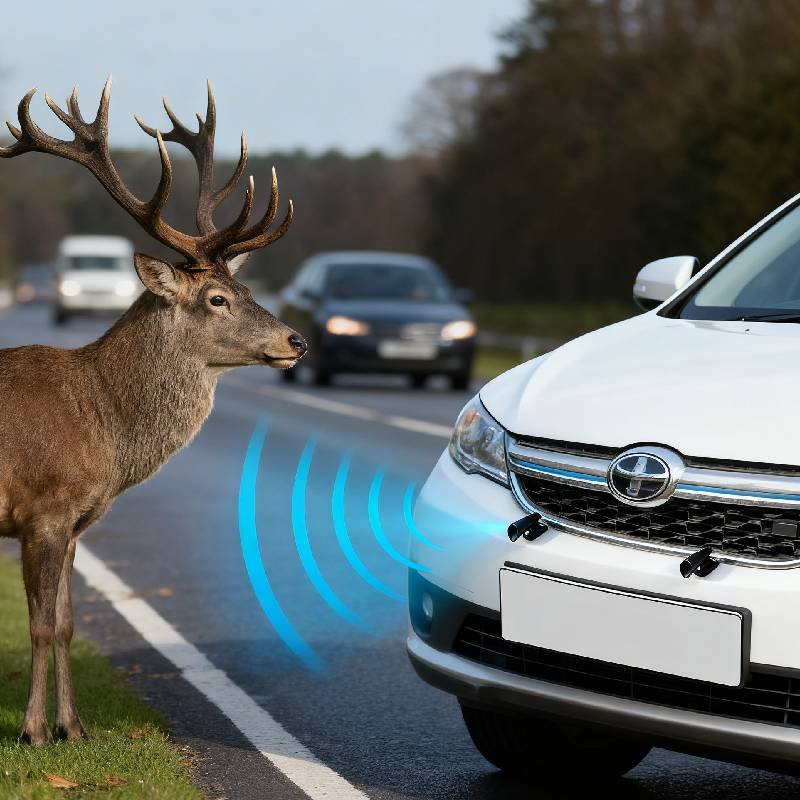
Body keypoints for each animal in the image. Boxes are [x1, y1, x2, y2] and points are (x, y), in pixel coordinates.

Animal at [0, 78, 308, 745]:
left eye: (247, 290)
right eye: (216, 299)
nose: (297, 341)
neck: (102, 431)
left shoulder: (76, 523)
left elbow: (67, 625)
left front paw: (74, 730)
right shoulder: (42, 509)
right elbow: (40, 625)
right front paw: (33, 731)